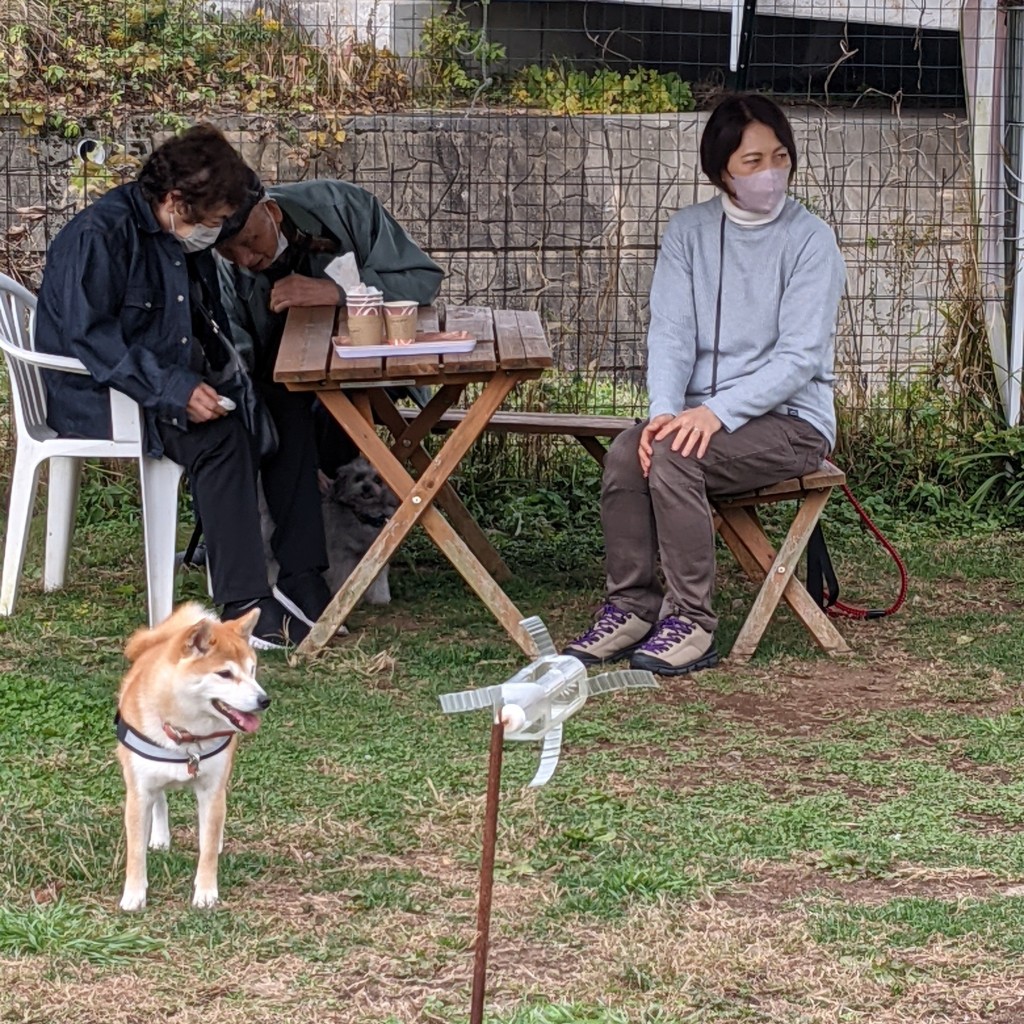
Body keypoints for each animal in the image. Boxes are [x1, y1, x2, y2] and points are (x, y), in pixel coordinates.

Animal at [116, 602, 270, 909]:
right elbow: (135, 850)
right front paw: (134, 894)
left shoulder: (211, 790)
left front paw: (206, 892)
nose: (264, 700)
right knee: (160, 799)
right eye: (225, 674)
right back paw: (160, 836)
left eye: (252, 670)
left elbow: (207, 848)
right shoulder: (139, 791)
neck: (186, 736)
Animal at [319, 456, 399, 598]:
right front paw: (340, 592)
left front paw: (380, 597)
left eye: (378, 480)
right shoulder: (340, 553)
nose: (366, 487)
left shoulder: (376, 554)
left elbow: (378, 577)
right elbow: (339, 575)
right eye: (358, 478)